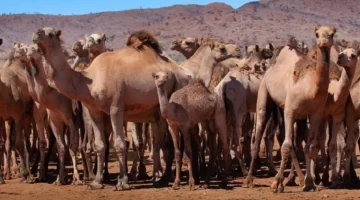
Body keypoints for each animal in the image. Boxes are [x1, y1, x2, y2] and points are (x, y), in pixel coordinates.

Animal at [248, 25, 338, 192]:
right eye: (317, 34)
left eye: (331, 34)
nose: (323, 42)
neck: (311, 88)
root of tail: (269, 69)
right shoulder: (290, 111)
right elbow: (286, 146)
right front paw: (276, 183)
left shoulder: (315, 114)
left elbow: (310, 146)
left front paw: (309, 183)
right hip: (264, 93)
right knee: (259, 136)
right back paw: (249, 179)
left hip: (293, 115)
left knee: (294, 143)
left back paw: (299, 179)